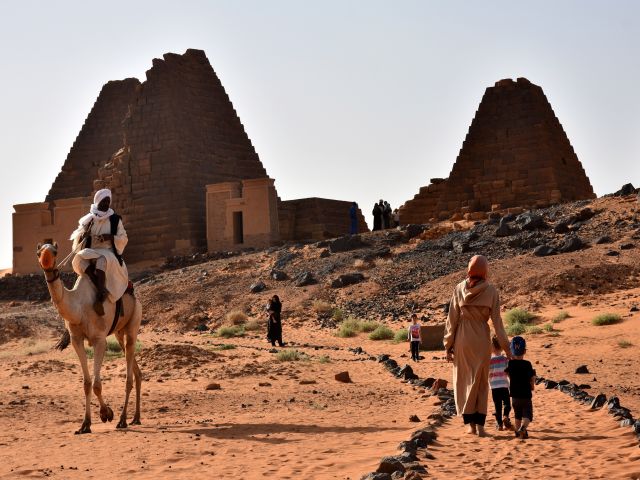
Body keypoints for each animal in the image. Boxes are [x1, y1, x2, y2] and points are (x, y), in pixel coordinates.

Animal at [37, 242, 144, 434]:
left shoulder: (99, 339)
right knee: (135, 370)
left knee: (129, 374)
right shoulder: (76, 340)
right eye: (38, 252)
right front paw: (85, 424)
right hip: (119, 332)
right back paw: (136, 418)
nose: (46, 262)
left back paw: (123, 420)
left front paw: (106, 414)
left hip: (134, 320)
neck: (79, 306)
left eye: (55, 252)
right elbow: (87, 384)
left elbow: (96, 385)